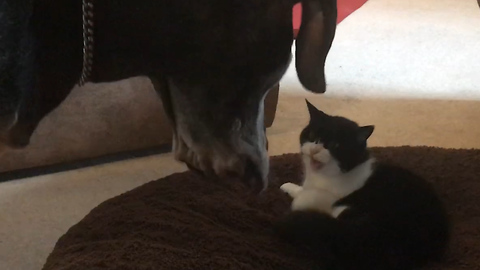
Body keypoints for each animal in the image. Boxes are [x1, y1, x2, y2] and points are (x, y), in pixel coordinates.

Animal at [276, 100, 452, 270]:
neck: (324, 177)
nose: (315, 150)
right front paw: (290, 187)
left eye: (335, 145)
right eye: (312, 135)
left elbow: (310, 199)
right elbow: (303, 189)